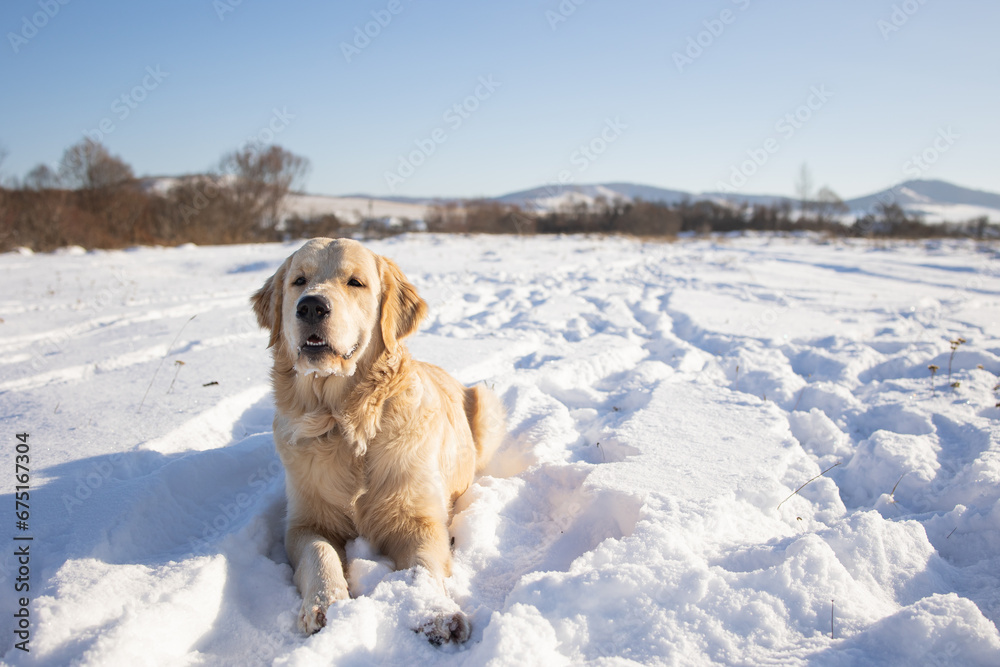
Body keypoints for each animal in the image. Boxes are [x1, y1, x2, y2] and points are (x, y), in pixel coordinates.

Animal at [250, 237, 500, 644]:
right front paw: (326, 604)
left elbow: (424, 566)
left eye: (355, 282)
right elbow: (318, 553)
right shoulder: (306, 522)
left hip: (487, 402)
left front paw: (435, 612)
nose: (311, 306)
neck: (343, 422)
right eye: (299, 280)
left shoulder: (418, 518)